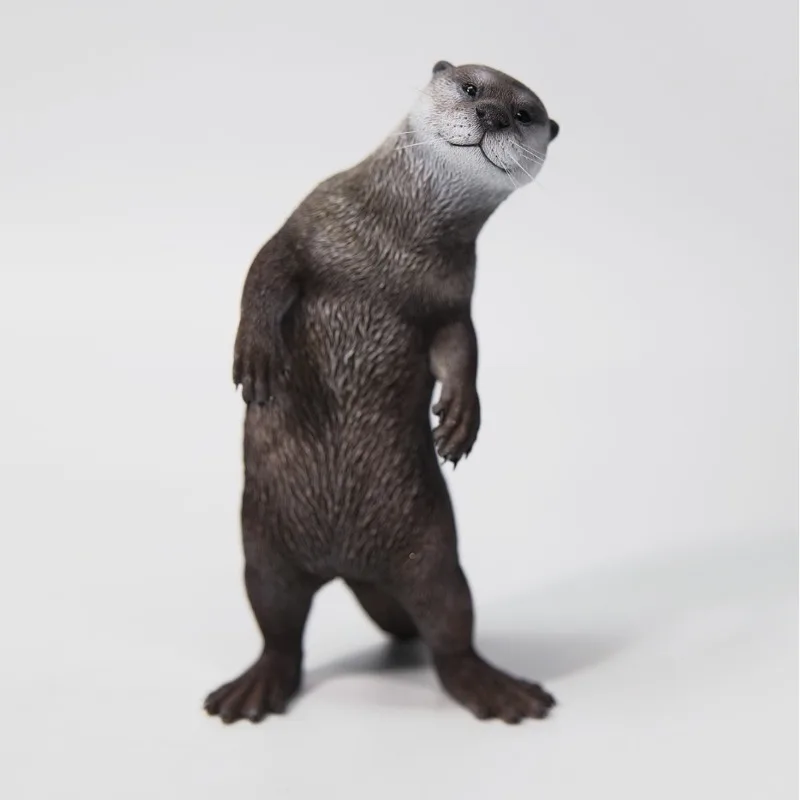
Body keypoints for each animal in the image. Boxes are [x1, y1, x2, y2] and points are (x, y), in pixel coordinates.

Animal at [204, 61, 560, 725]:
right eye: (471, 87)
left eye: (524, 113)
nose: (493, 115)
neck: (395, 247)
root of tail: (349, 568)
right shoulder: (310, 220)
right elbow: (265, 270)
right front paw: (257, 357)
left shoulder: (453, 296)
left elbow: (462, 347)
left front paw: (461, 418)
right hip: (264, 551)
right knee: (278, 629)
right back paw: (254, 688)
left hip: (434, 554)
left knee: (450, 630)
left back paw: (496, 689)